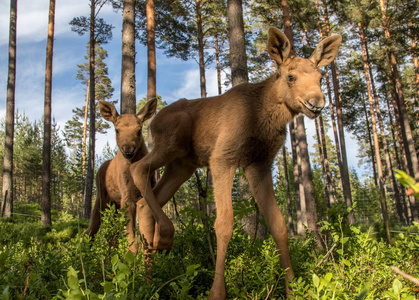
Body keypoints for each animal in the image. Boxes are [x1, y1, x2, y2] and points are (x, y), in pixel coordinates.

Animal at [85, 98, 158, 253]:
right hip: (102, 198)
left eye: (138, 130)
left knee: (113, 232)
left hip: (116, 204)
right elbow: (132, 241)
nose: (128, 150)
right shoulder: (127, 196)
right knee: (91, 229)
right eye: (117, 130)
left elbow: (149, 235)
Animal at [130, 27, 342, 298]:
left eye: (321, 77)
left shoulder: (259, 164)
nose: (316, 102)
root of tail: (151, 122)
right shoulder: (223, 158)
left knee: (145, 203)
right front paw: (217, 292)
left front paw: (292, 288)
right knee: (137, 168)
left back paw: (149, 278)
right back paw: (164, 237)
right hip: (172, 144)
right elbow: (224, 224)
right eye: (291, 77)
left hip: (183, 165)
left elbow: (279, 224)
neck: (264, 118)